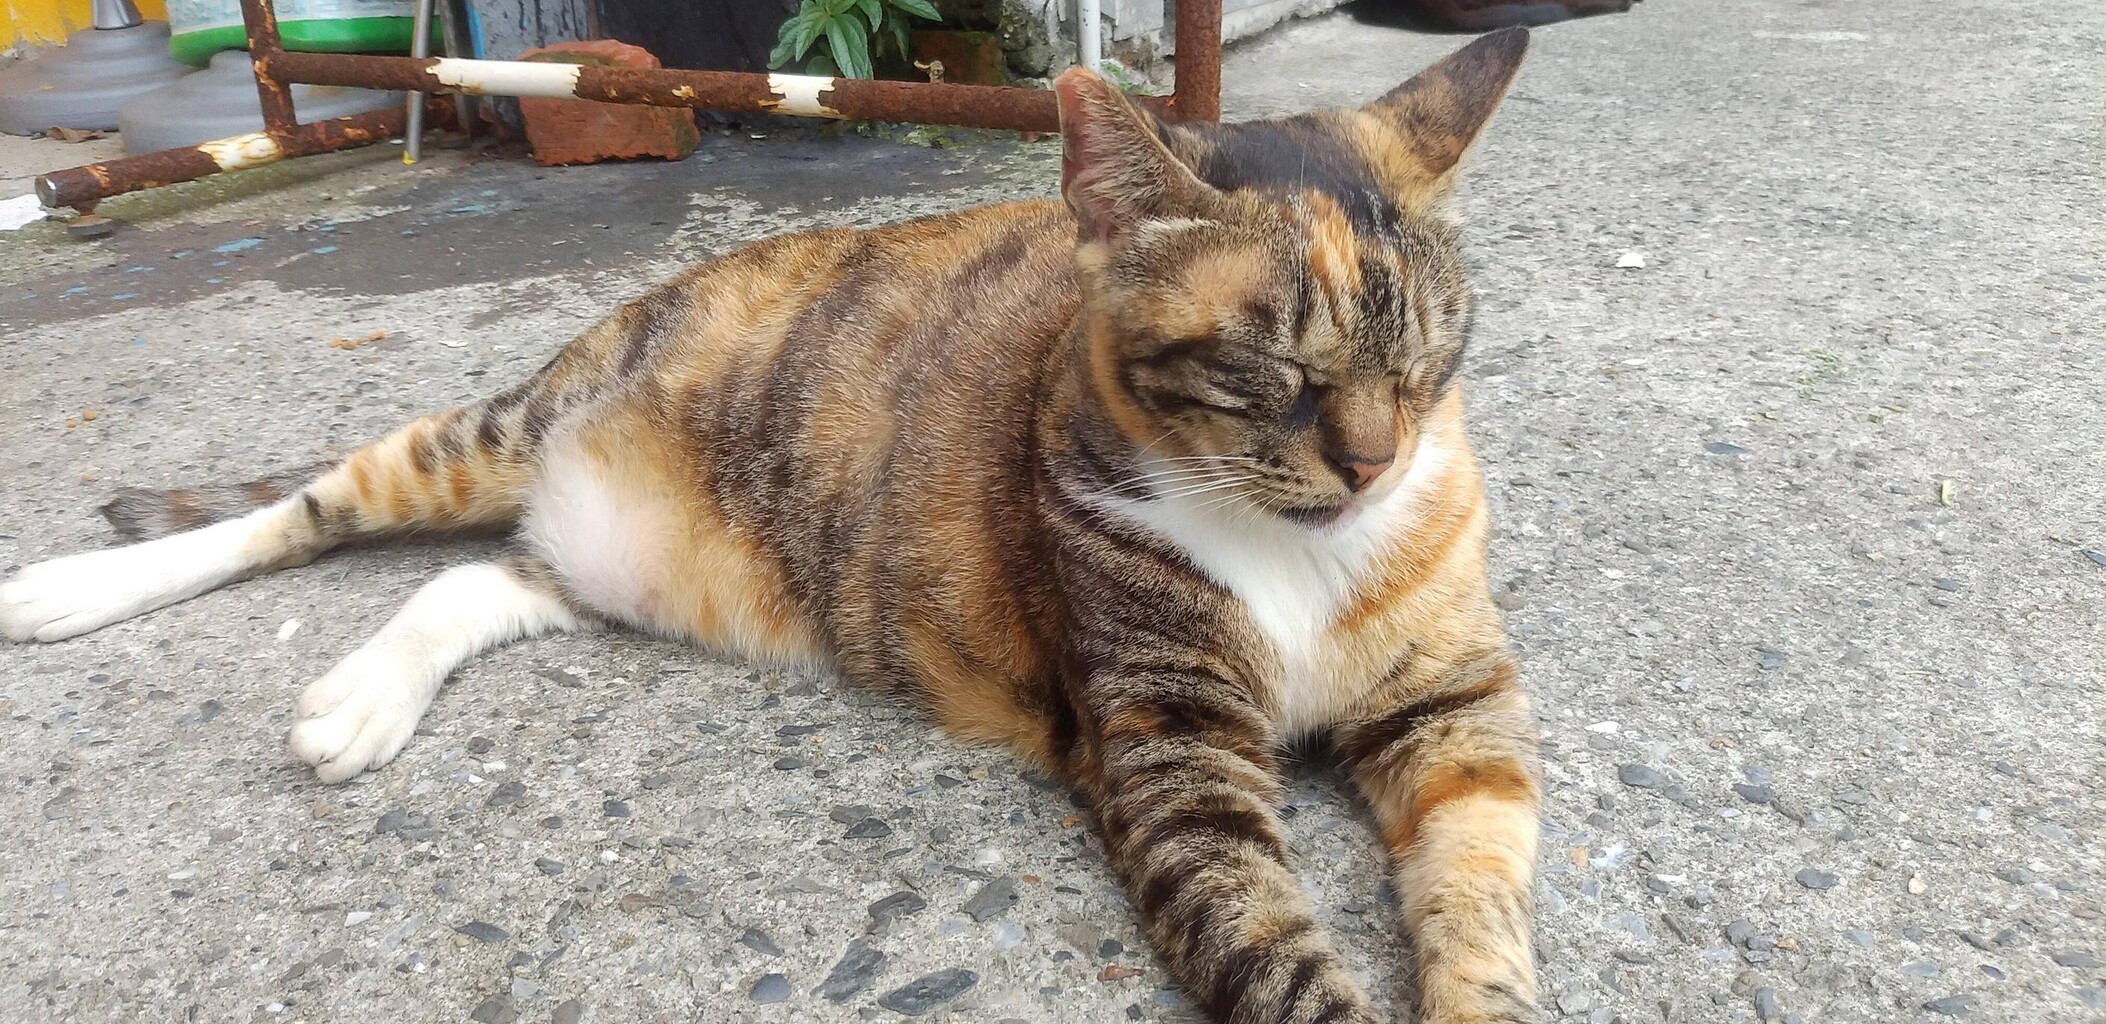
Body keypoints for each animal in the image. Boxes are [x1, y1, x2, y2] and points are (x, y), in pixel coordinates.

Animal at [0, 28, 1543, 1024]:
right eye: (1275, 374)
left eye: (1428, 362)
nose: (1370, 465)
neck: (1303, 549)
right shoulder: (1169, 742)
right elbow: (1270, 943)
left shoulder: (1457, 709)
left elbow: (1483, 892)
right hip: (491, 432)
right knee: (307, 510)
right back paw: (75, 588)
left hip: (600, 566)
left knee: (471, 581)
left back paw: (367, 693)